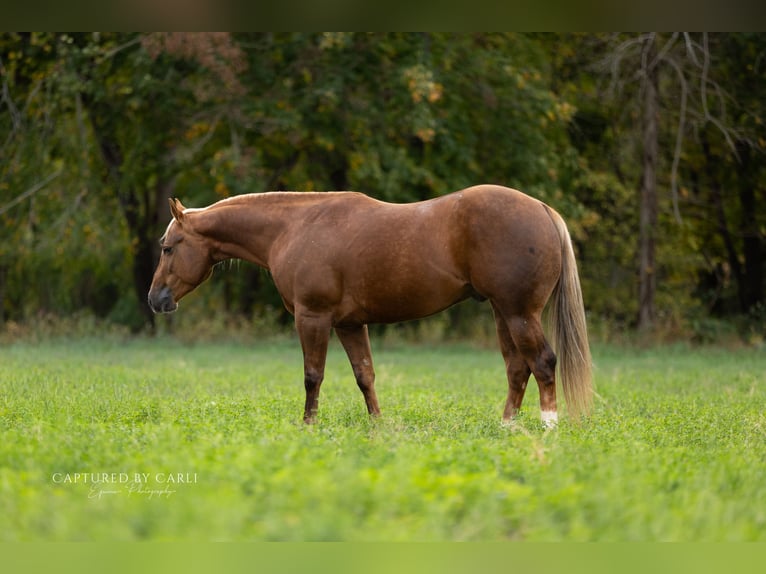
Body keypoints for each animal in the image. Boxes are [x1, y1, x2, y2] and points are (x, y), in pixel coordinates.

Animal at [148, 184, 592, 427]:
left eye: (168, 247)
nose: (156, 299)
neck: (294, 227)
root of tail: (542, 210)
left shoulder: (313, 318)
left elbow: (313, 376)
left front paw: (307, 426)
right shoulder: (349, 324)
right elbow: (365, 376)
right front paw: (378, 427)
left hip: (519, 314)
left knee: (543, 363)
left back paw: (547, 429)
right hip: (503, 313)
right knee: (518, 368)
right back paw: (506, 428)